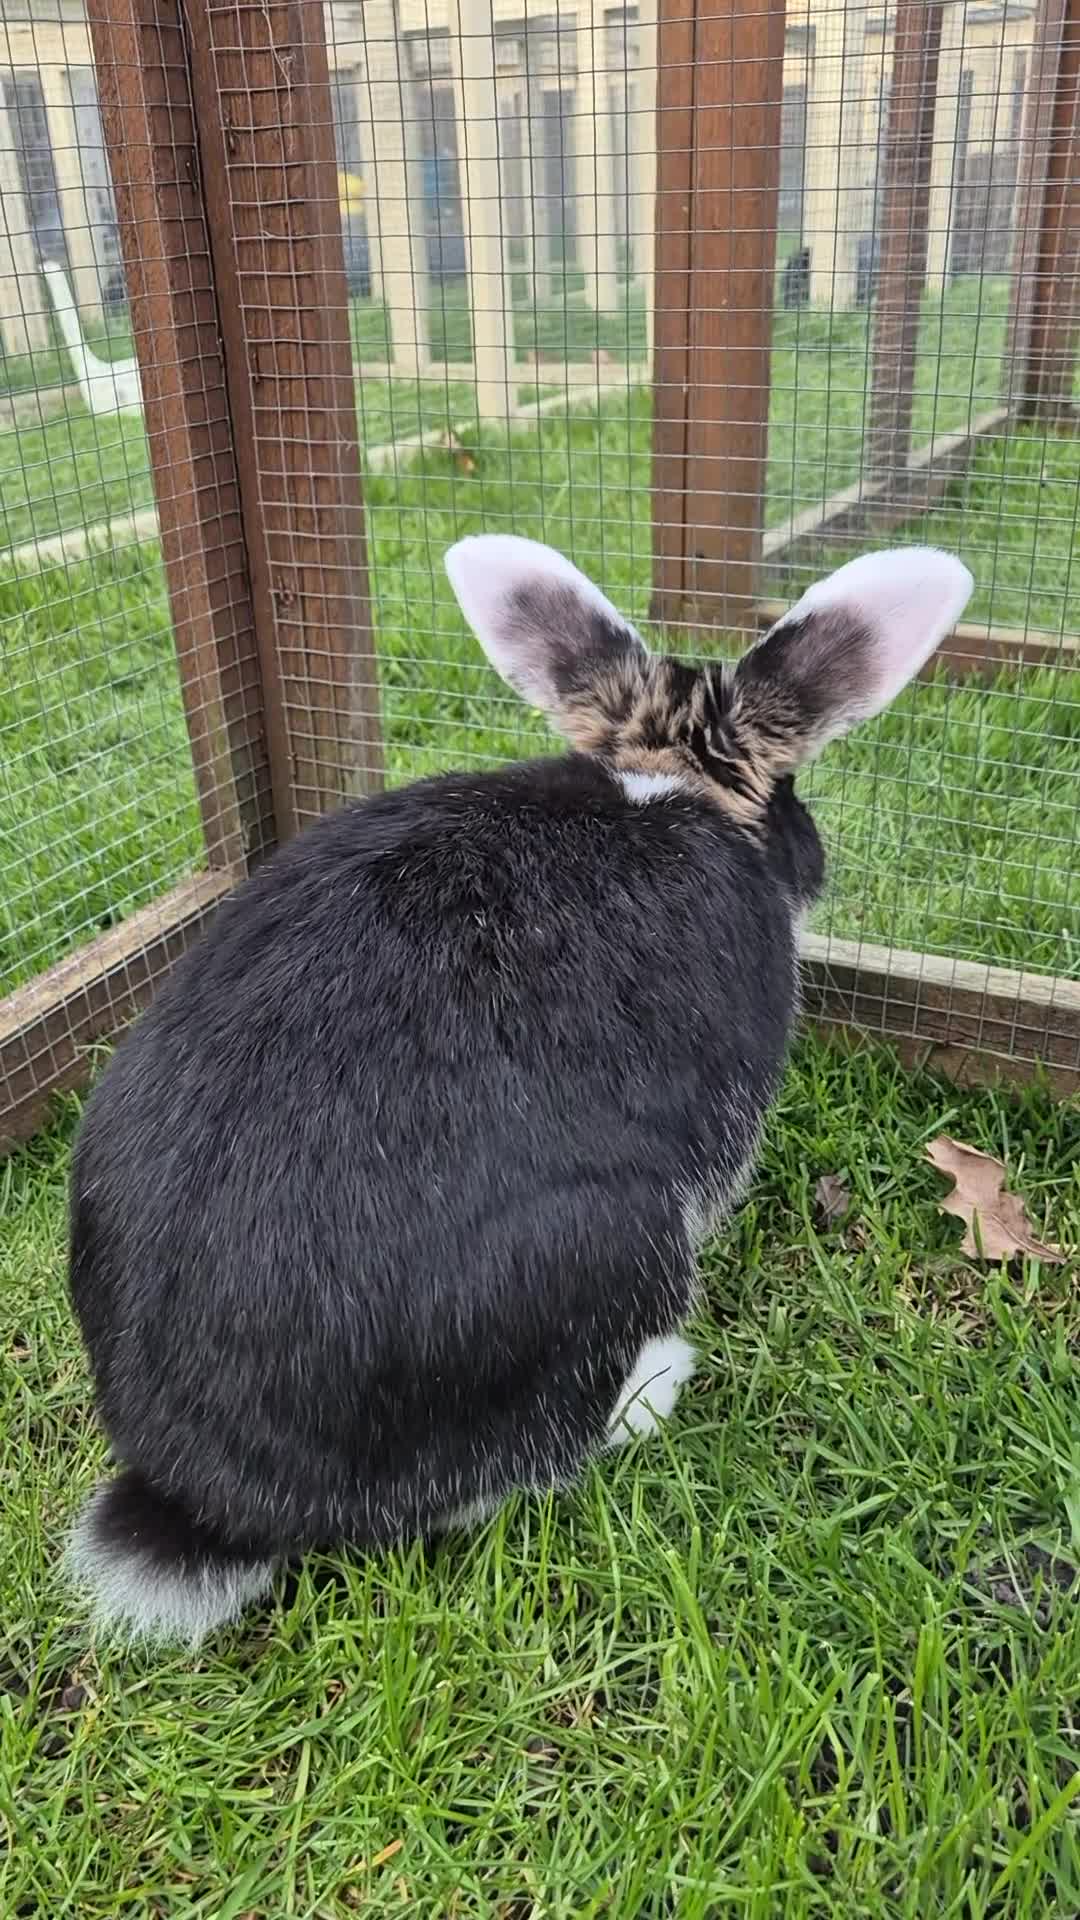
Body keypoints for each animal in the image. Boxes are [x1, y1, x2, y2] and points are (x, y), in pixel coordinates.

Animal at [66, 535, 973, 1645]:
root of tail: (207, 1504)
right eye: (792, 792)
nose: (813, 858)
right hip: (620, 1242)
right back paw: (659, 1386)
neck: (661, 778)